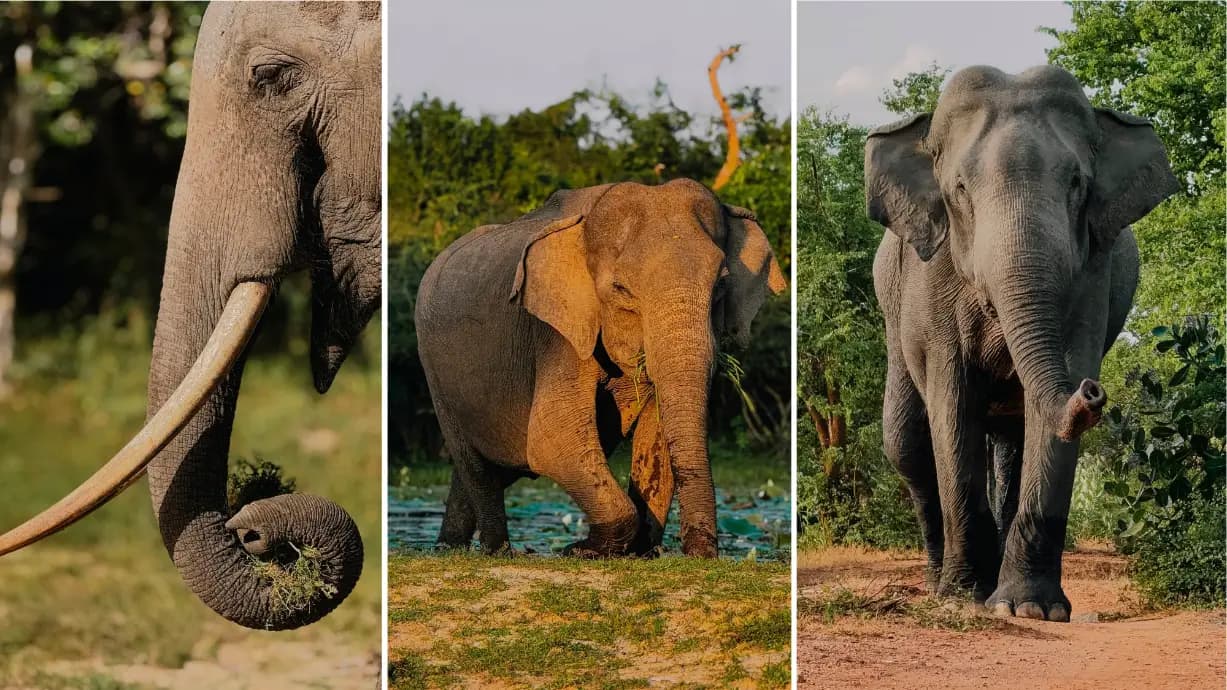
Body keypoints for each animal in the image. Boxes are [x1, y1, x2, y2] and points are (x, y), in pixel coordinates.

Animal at [415, 179, 786, 559]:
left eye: (722, 285)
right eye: (621, 289)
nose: (701, 554)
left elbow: (655, 433)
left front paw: (637, 552)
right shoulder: (557, 336)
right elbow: (550, 439)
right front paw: (579, 549)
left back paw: (448, 547)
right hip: (434, 370)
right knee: (478, 467)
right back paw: (497, 551)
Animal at [866, 65, 1178, 621]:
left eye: (1077, 183)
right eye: (960, 189)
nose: (1093, 392)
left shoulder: (1091, 270)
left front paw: (1030, 609)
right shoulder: (932, 275)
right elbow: (951, 402)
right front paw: (965, 596)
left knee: (1010, 440)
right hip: (891, 299)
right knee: (905, 441)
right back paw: (940, 582)